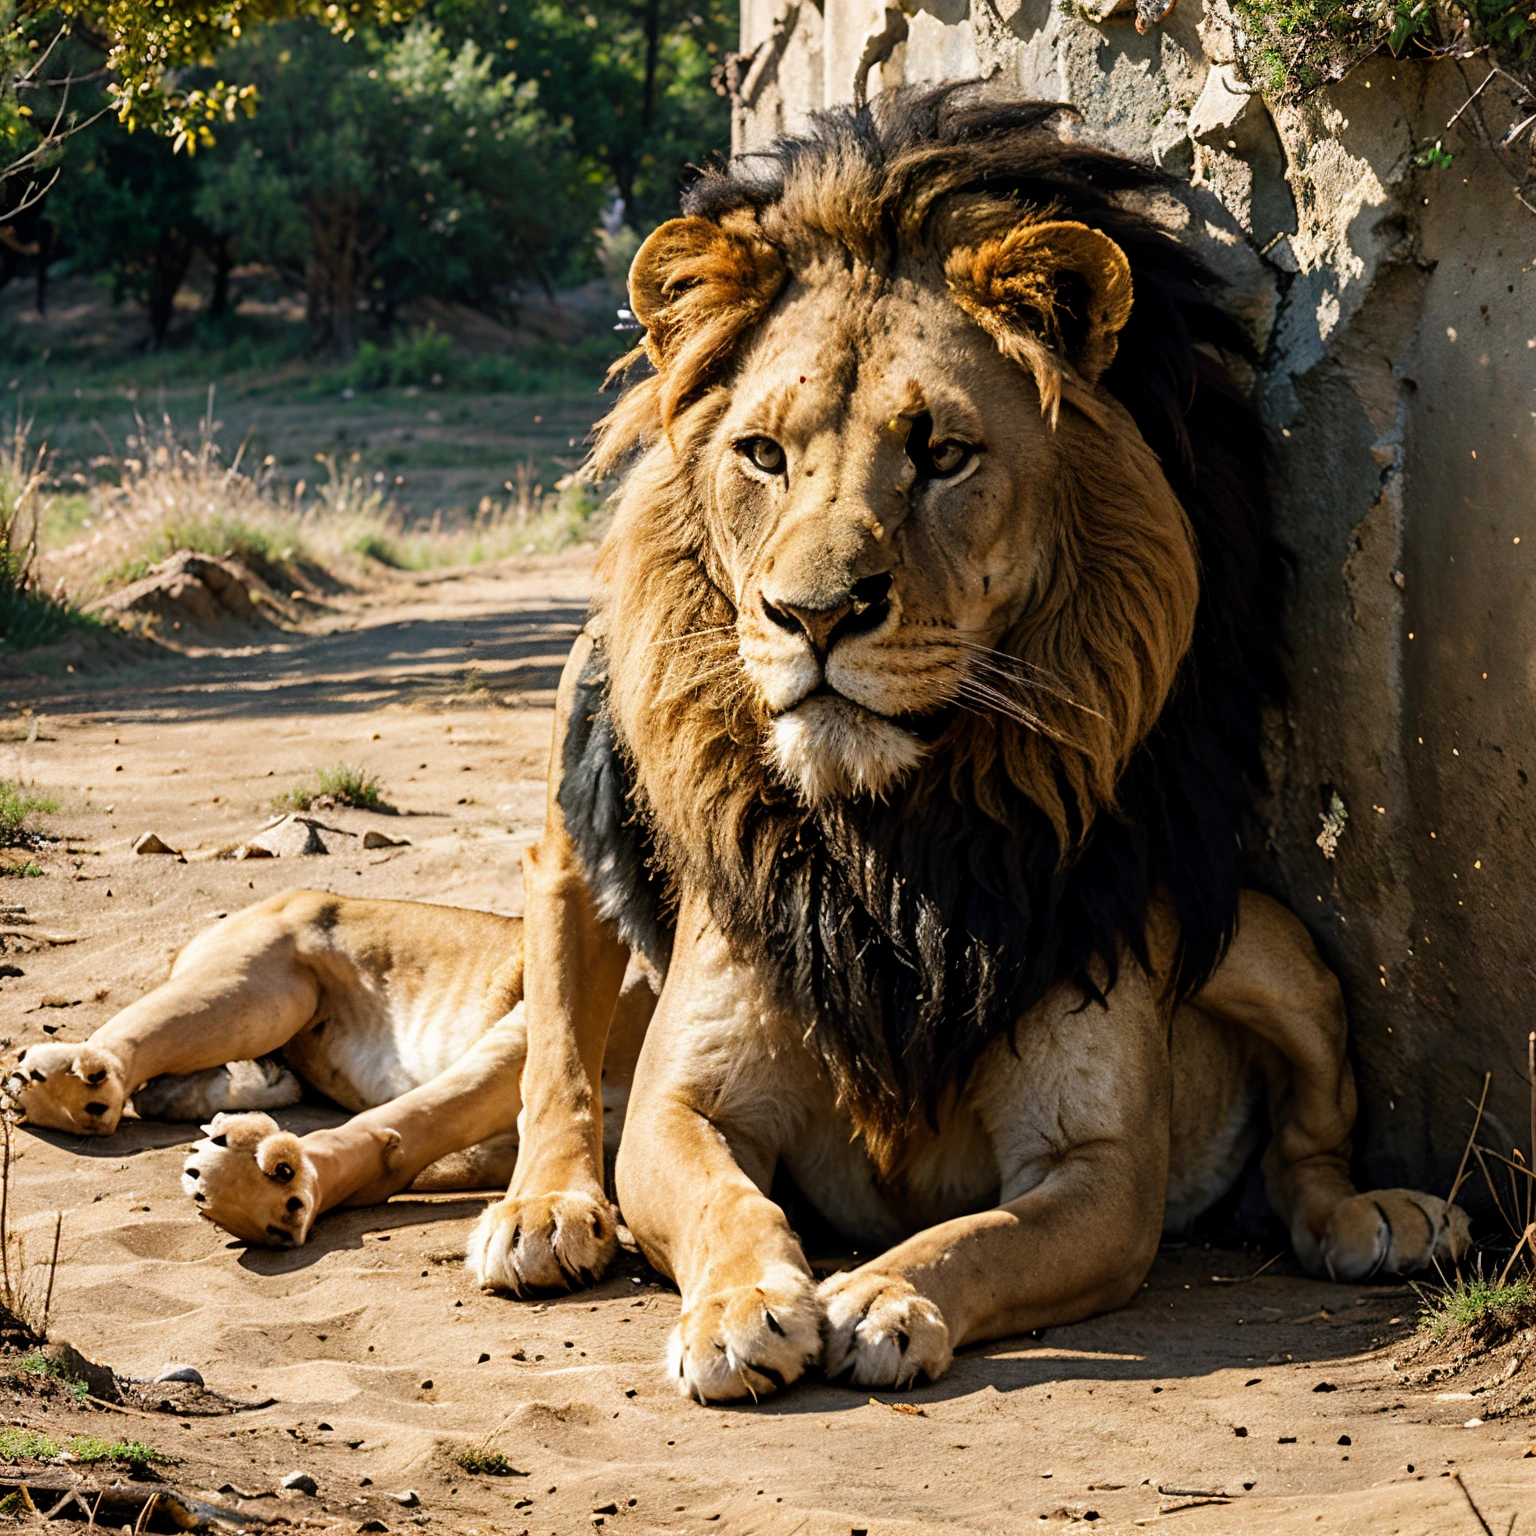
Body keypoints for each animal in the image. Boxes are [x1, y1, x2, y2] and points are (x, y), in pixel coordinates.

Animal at [473, 87, 1468, 1406]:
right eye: (762, 454)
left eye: (941, 453)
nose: (813, 615)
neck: (893, 838)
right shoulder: (685, 1109)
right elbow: (725, 1201)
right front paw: (741, 1305)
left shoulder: (1098, 1167)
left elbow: (981, 1234)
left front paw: (885, 1293)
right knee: (559, 1047)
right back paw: (542, 1212)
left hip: (1270, 950)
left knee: (1306, 1151)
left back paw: (1382, 1218)